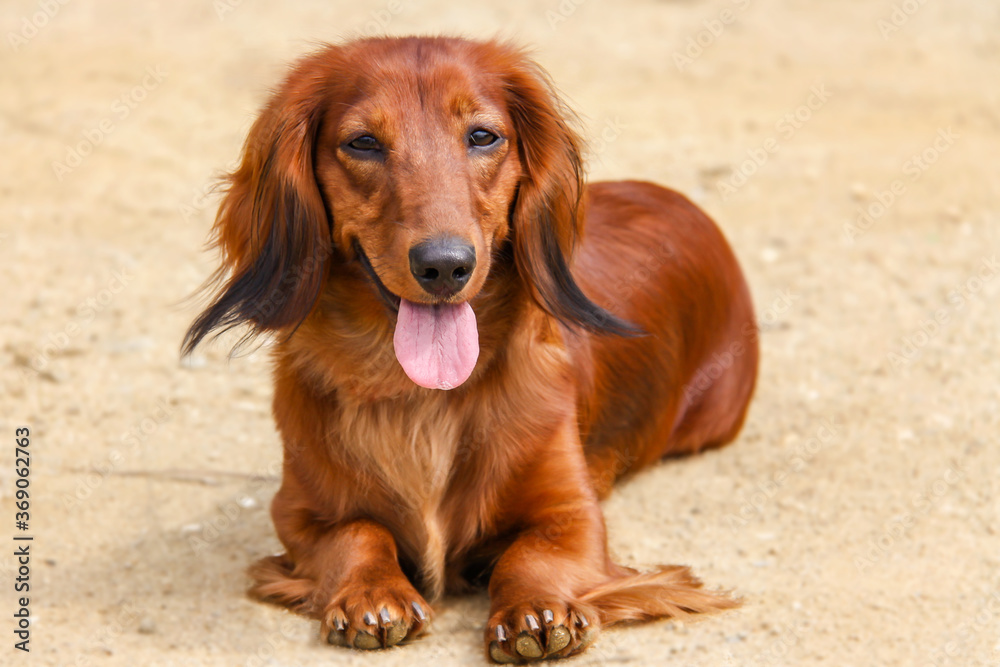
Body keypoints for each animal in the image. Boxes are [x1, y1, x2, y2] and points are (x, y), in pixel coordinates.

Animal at [182, 35, 756, 664]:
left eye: (482, 136)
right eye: (363, 142)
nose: (444, 266)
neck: (421, 394)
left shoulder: (572, 513)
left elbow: (533, 555)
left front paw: (537, 610)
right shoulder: (297, 511)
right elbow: (357, 532)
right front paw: (372, 595)